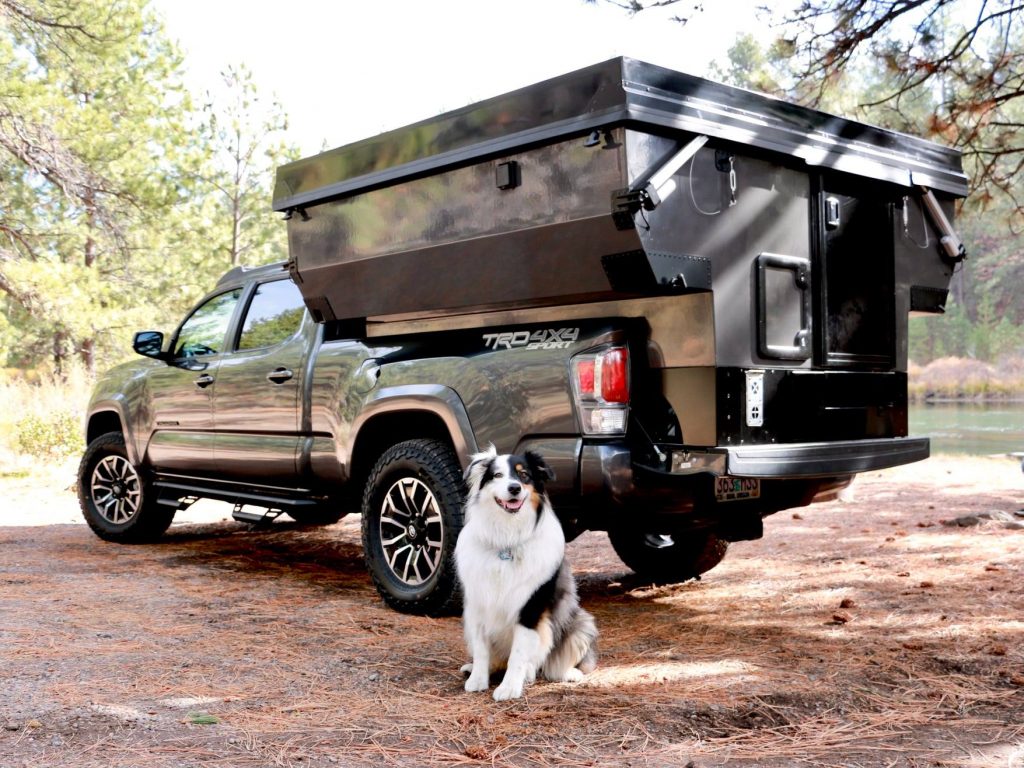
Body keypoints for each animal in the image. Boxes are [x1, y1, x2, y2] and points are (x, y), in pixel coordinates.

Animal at [454, 444, 598, 704]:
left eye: (524, 475)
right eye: (497, 475)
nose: (514, 488)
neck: (506, 540)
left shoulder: (530, 607)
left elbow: (519, 653)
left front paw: (510, 687)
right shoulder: (477, 604)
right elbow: (481, 649)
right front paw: (478, 679)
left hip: (581, 623)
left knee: (550, 662)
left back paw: (562, 673)